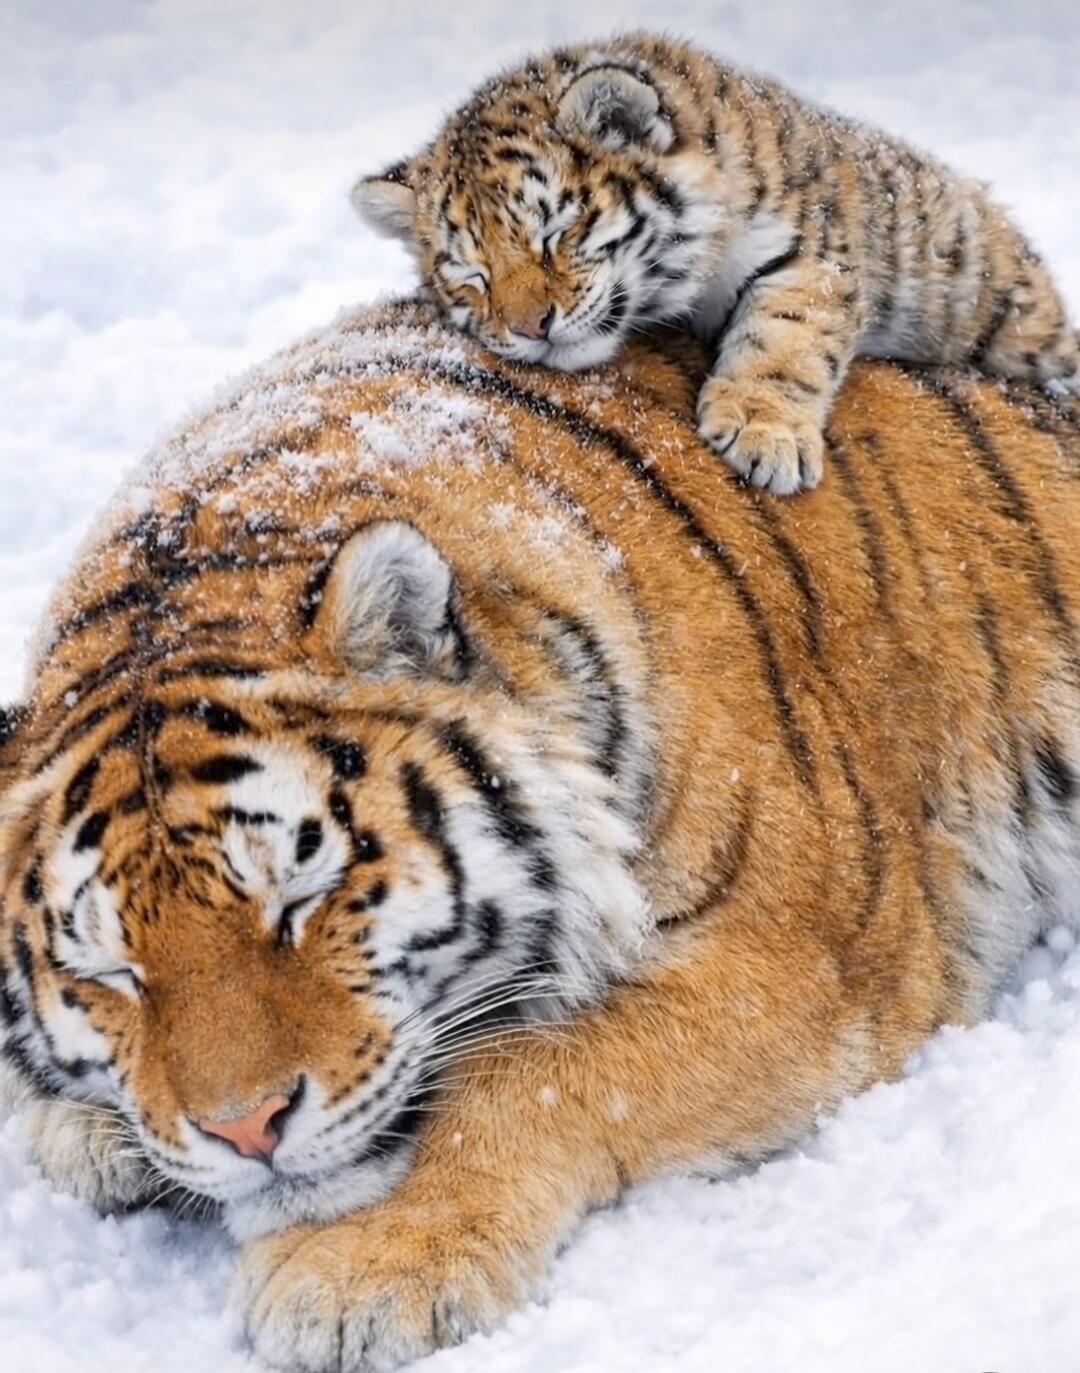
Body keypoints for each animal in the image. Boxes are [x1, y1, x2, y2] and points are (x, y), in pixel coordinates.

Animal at [2, 298, 1080, 1373]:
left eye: (302, 898)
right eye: (112, 971)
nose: (246, 1129)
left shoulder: (801, 960)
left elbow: (531, 1075)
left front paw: (364, 1264)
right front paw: (89, 1126)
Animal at [354, 31, 1080, 496]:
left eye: (556, 234)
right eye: (472, 277)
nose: (532, 329)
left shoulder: (811, 254)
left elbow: (786, 339)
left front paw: (763, 437)